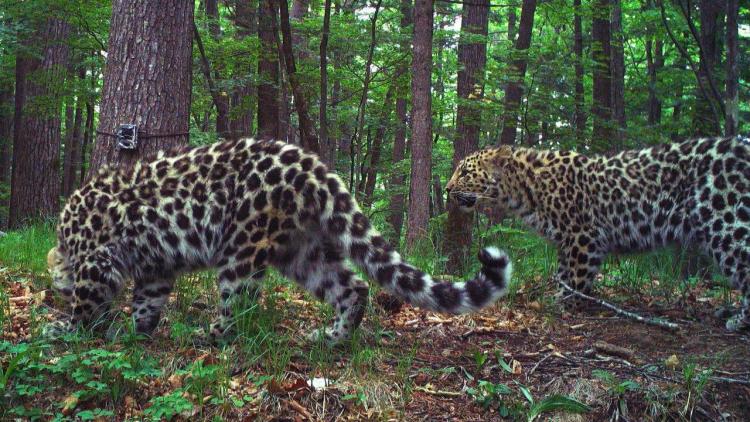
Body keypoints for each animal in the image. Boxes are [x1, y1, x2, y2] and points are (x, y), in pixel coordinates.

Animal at [47, 137, 516, 344]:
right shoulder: (155, 269)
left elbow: (85, 306)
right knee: (354, 286)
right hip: (303, 251)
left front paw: (66, 329)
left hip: (242, 245)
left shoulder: (96, 263)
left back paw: (208, 334)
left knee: (237, 303)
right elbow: (146, 303)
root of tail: (311, 166)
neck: (66, 242)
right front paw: (136, 332)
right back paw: (332, 337)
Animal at [450, 135, 748, 330]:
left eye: (465, 172)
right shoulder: (566, 241)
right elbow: (564, 274)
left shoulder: (583, 236)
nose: (448, 189)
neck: (524, 188)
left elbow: (576, 277)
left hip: (726, 222)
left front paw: (562, 304)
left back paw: (738, 320)